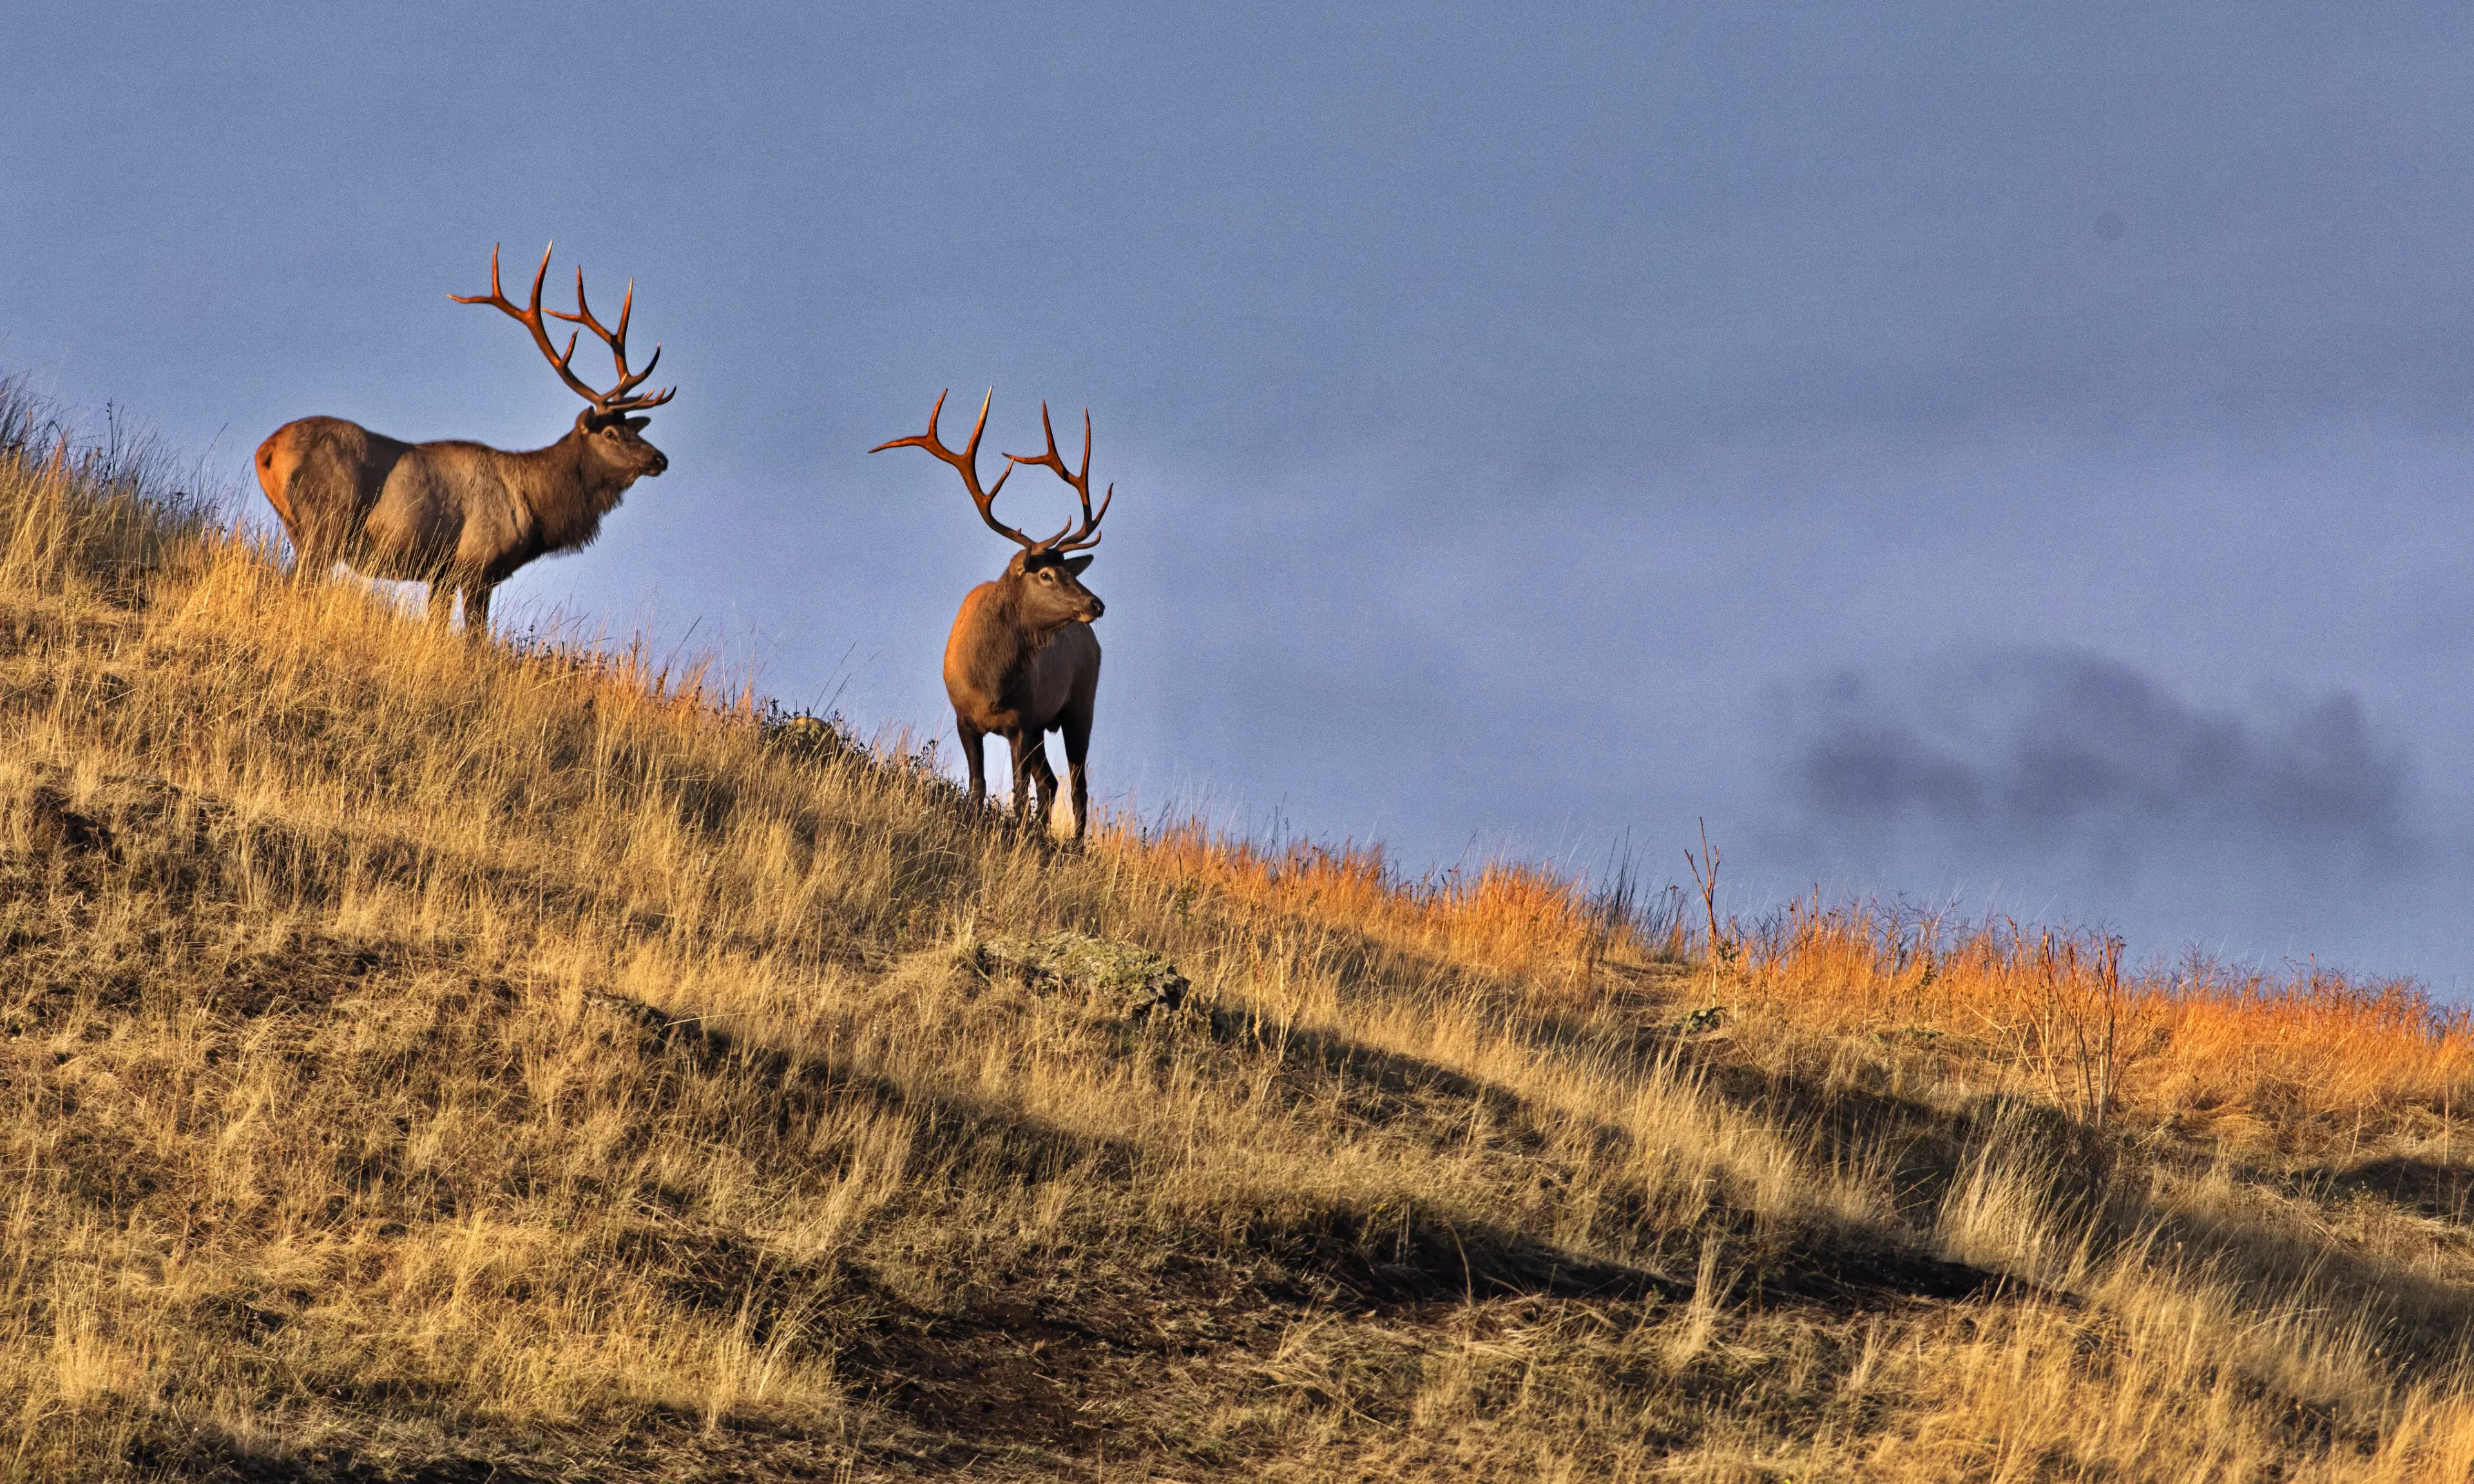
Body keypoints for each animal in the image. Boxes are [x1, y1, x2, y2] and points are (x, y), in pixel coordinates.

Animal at [252, 246, 678, 628]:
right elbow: (475, 639)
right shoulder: (476, 565)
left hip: (296, 526)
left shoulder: (440, 574)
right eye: (610, 432)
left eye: (633, 429)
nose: (660, 459)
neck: (535, 505)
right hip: (325, 523)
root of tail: (266, 452)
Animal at [866, 390, 1108, 835]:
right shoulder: (965, 717)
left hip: (1080, 704)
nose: (1095, 604)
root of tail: (1094, 642)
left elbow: (1017, 795)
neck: (990, 682)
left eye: (1069, 570)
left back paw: (1075, 844)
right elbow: (978, 786)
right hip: (1046, 724)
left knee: (1077, 786)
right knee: (1051, 782)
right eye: (1046, 573)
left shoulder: (1021, 722)